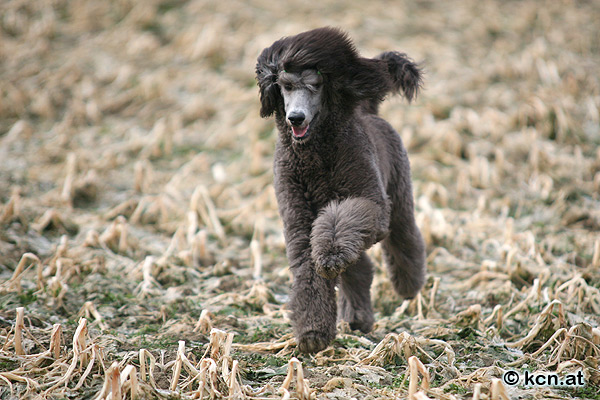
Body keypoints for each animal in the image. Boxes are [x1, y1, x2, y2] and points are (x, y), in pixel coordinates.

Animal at [256, 27, 426, 353]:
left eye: (315, 85)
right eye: (285, 86)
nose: (295, 118)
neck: (315, 156)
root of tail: (369, 113)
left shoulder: (370, 202)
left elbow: (342, 223)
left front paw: (331, 254)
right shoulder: (299, 221)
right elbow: (308, 269)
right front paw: (313, 333)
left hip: (399, 195)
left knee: (404, 236)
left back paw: (409, 285)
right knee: (361, 268)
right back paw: (358, 317)